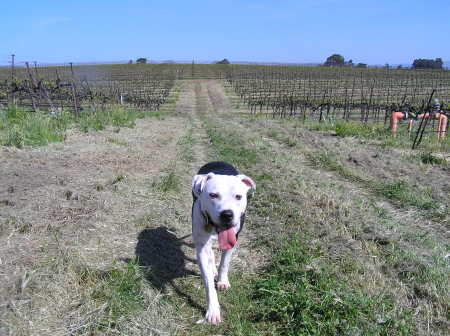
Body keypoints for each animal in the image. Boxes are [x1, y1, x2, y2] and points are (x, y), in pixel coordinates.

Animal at [192, 161, 255, 324]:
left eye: (238, 196)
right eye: (213, 195)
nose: (227, 214)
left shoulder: (233, 239)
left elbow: (225, 263)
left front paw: (222, 281)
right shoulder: (201, 248)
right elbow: (208, 282)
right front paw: (213, 310)